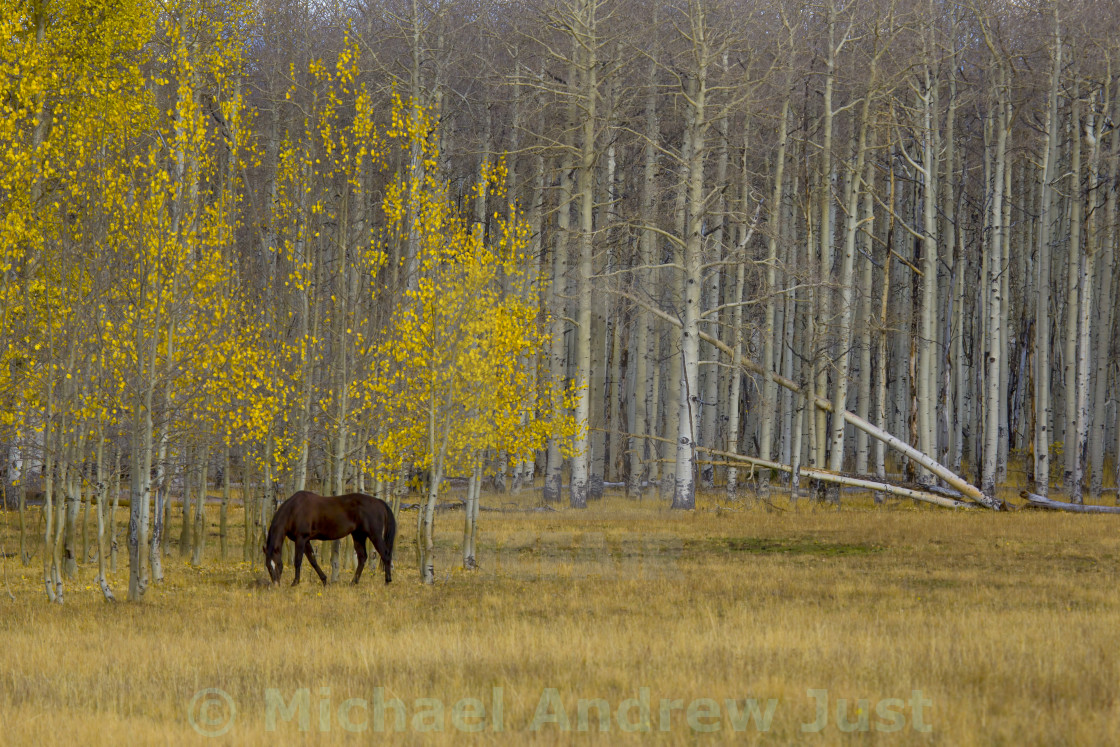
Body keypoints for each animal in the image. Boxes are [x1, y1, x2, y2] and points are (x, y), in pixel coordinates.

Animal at [264, 490, 396, 591]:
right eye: (268, 566)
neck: (294, 510)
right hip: (358, 535)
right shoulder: (306, 541)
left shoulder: (301, 539)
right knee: (362, 557)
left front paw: (295, 582)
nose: (276, 585)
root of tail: (379, 502)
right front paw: (324, 581)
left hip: (374, 535)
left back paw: (387, 581)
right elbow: (313, 561)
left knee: (385, 554)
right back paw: (353, 582)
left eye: (278, 564)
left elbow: (298, 561)